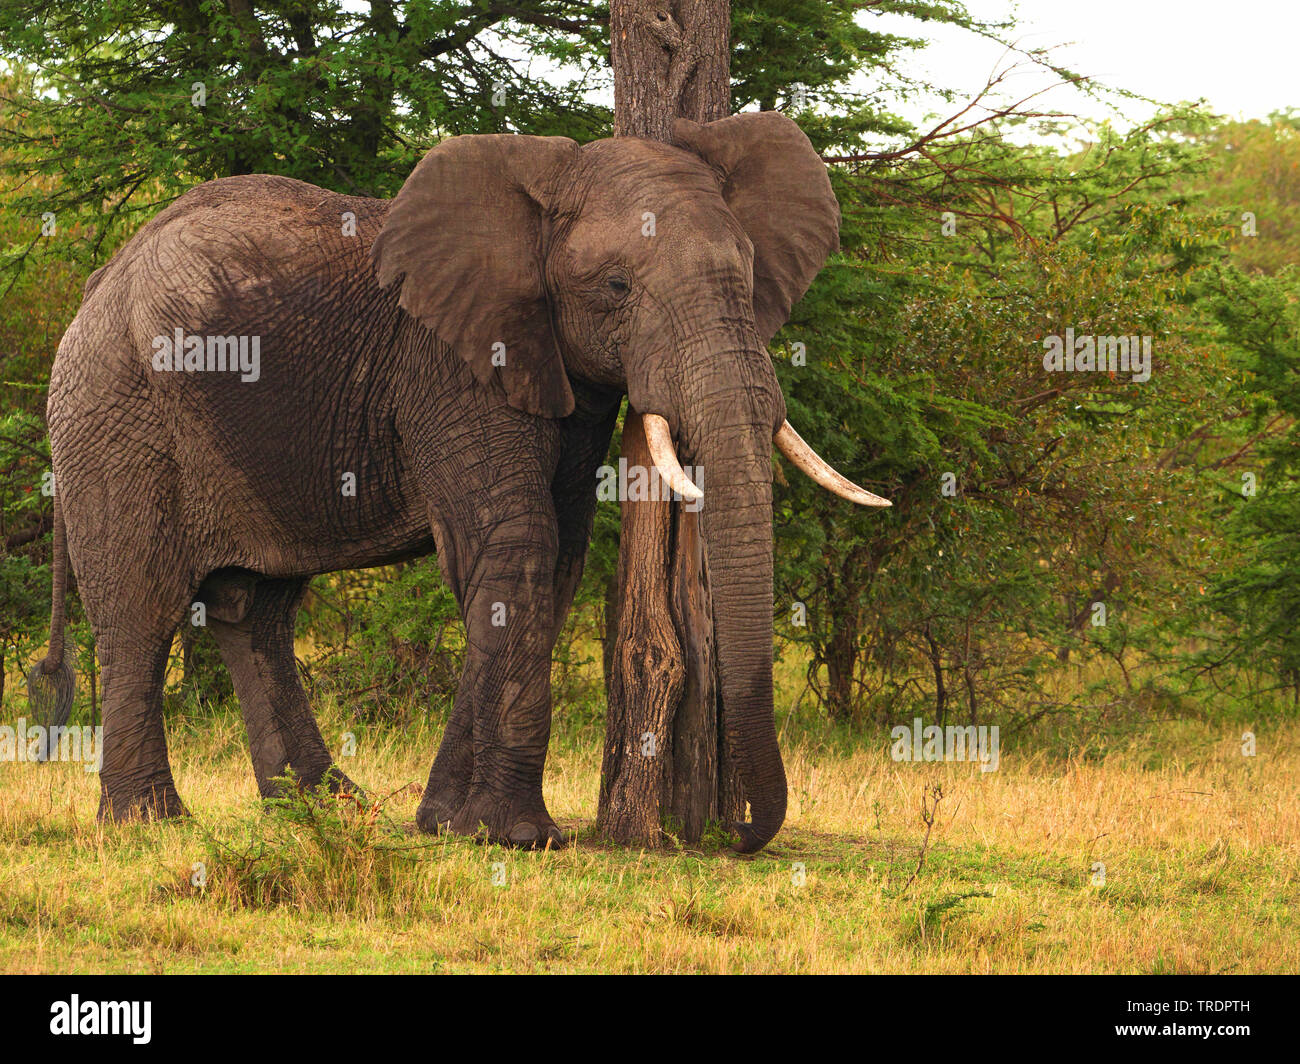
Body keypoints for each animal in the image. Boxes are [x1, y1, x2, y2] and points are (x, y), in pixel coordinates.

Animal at [32, 110, 888, 853]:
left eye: (748, 276)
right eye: (616, 287)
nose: (730, 833)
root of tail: (95, 282)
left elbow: (551, 559)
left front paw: (445, 822)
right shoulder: (451, 366)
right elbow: (516, 543)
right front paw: (518, 837)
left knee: (256, 610)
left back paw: (331, 811)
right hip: (116, 414)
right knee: (142, 607)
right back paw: (149, 823)